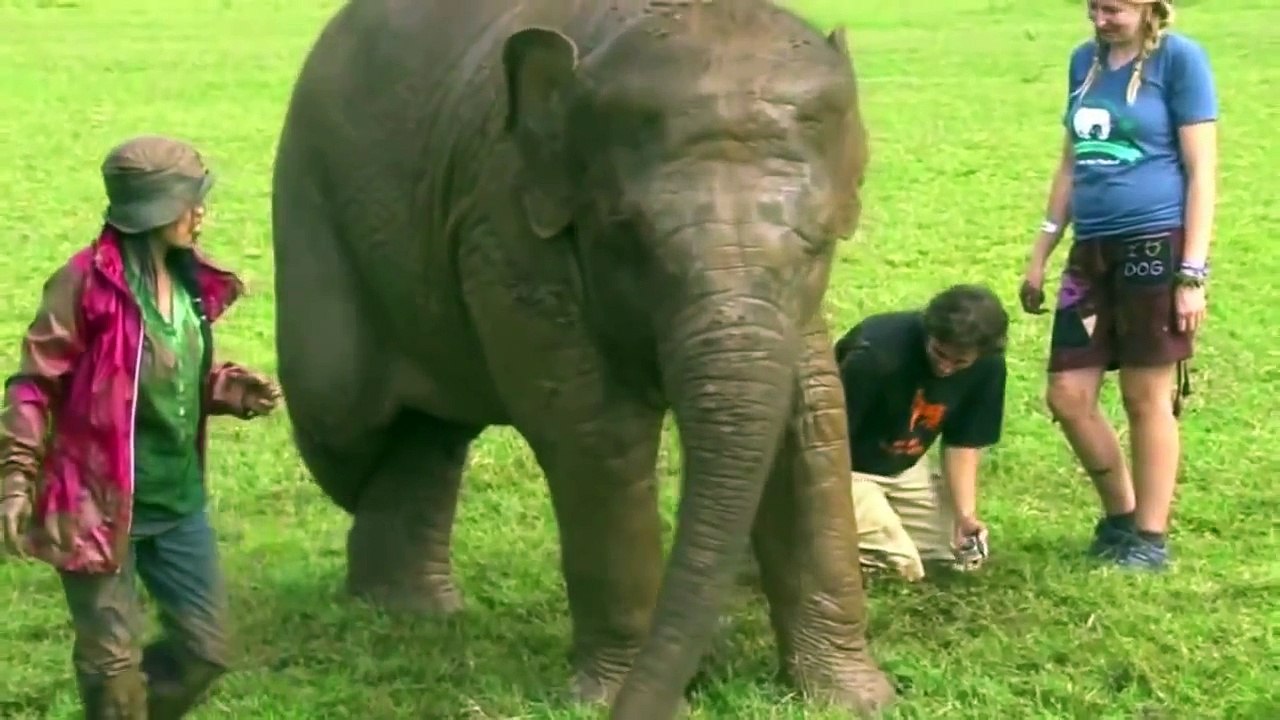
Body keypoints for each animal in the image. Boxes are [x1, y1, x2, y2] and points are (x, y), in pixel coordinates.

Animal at [269, 0, 894, 718]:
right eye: (628, 235)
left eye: (820, 242)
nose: (693, 679)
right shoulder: (505, 223)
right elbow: (596, 431)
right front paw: (613, 697)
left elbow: (813, 418)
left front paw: (855, 700)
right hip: (310, 207)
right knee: (342, 408)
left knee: (428, 432)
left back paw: (411, 612)